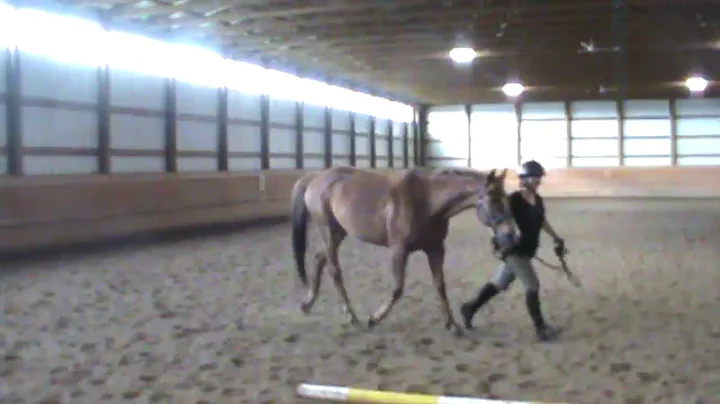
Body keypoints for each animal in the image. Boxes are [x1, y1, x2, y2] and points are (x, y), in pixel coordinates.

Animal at [288, 166, 516, 336]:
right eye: (494, 198)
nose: (511, 234)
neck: (426, 200)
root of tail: (315, 177)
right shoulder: (399, 251)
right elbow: (398, 288)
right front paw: (374, 318)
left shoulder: (436, 250)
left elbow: (440, 286)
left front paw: (452, 325)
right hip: (328, 231)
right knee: (334, 270)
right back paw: (352, 317)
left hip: (338, 233)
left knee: (319, 259)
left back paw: (307, 304)